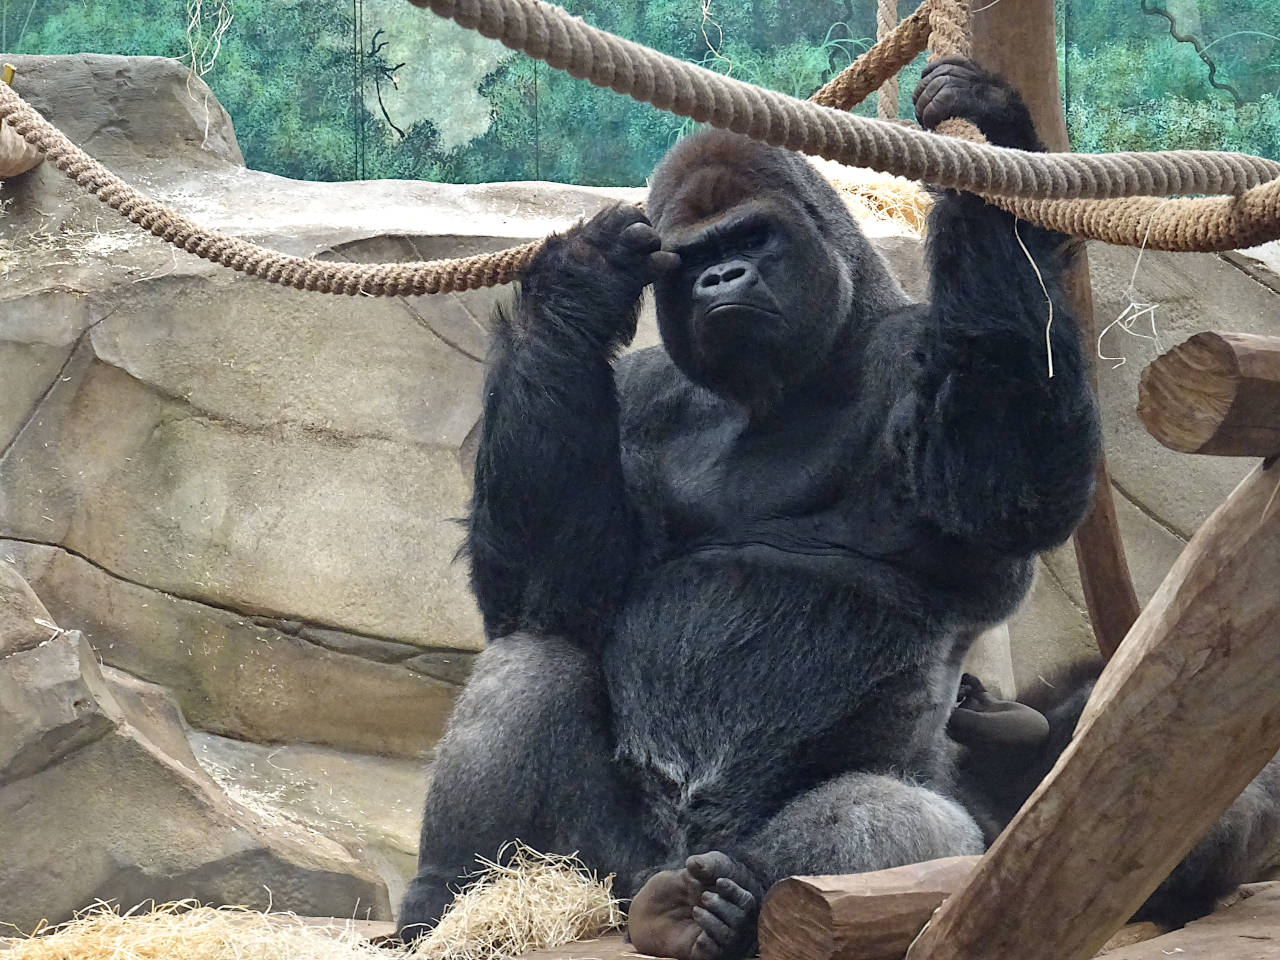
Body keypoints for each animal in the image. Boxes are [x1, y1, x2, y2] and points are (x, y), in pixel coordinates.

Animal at [399, 60, 1100, 960]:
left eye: (752, 239)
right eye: (694, 256)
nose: (721, 280)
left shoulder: (918, 352)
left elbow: (1005, 489)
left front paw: (993, 141)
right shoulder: (642, 395)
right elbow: (551, 591)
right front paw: (577, 281)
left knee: (901, 818)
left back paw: (727, 905)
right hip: (603, 871)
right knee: (534, 658)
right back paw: (452, 900)